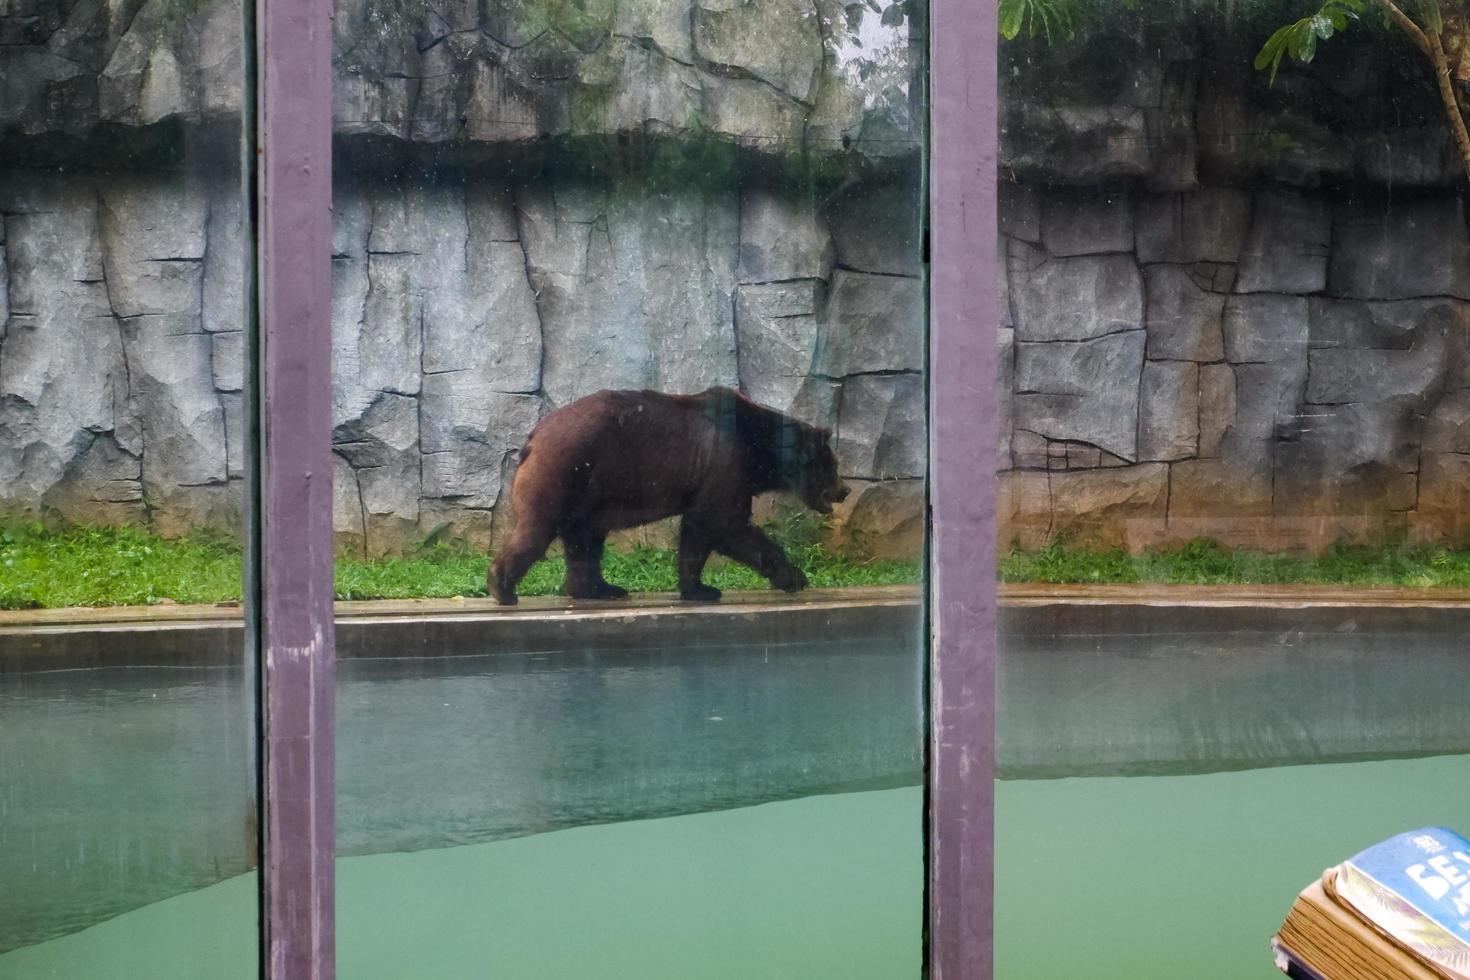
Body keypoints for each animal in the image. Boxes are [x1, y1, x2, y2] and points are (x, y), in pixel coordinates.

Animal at [488, 384, 846, 605]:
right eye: (831, 465)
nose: (844, 490)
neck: (759, 446)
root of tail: (533, 438)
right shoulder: (725, 460)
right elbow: (723, 523)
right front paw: (793, 576)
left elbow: (699, 529)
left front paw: (698, 588)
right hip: (564, 470)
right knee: (537, 530)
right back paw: (503, 588)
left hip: (588, 488)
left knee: (584, 538)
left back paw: (601, 588)